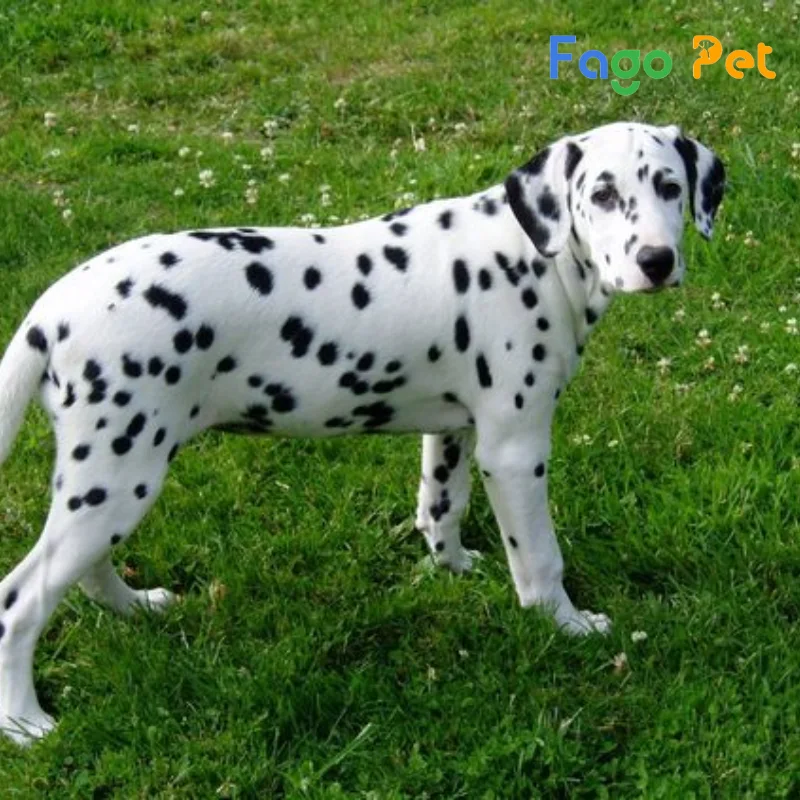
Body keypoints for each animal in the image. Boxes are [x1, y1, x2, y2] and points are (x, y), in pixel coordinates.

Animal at [0, 122, 725, 744]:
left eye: (669, 186)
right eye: (601, 194)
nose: (657, 260)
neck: (531, 255)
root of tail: (51, 310)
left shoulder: (457, 430)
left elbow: (441, 506)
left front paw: (454, 567)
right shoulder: (515, 451)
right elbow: (541, 559)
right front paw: (566, 625)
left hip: (104, 480)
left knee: (83, 570)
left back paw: (135, 607)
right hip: (120, 476)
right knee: (21, 600)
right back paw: (25, 723)